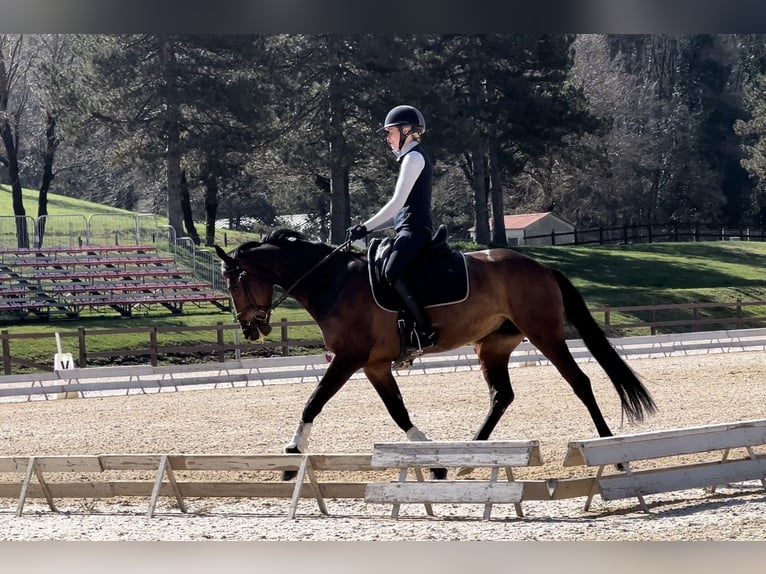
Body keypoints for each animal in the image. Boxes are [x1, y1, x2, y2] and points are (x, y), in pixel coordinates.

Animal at [214, 228, 656, 479]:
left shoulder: (349, 358)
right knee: (502, 396)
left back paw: (616, 457)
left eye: (235, 282)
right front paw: (434, 459)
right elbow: (399, 412)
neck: (332, 281)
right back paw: (469, 458)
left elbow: (313, 401)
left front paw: (292, 455)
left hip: (544, 334)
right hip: (492, 344)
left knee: (580, 382)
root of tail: (541, 266)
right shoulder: (374, 365)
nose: (250, 328)